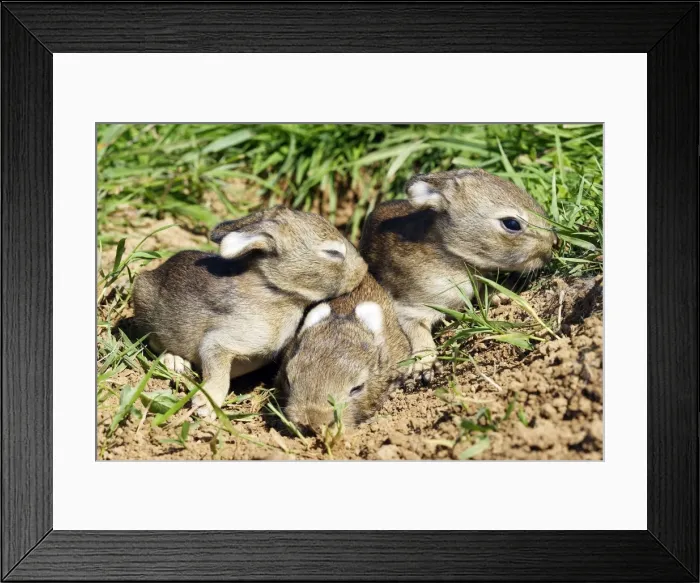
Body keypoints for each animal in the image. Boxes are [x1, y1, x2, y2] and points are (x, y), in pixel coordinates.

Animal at [132, 205, 367, 418]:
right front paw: (207, 404)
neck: (276, 289)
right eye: (333, 252)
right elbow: (217, 370)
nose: (363, 269)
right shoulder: (219, 341)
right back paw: (174, 360)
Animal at [359, 168, 557, 383]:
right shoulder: (410, 306)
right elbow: (417, 330)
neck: (453, 254)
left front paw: (500, 295)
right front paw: (425, 365)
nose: (553, 243)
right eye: (512, 224)